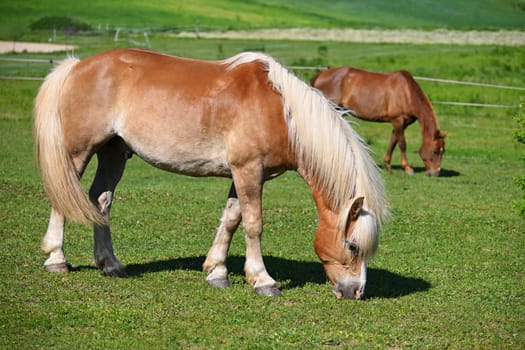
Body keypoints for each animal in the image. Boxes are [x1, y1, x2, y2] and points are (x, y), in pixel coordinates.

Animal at [312, 66, 446, 176]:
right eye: (435, 151)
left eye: (443, 151)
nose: (435, 173)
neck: (407, 92)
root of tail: (321, 74)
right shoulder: (398, 121)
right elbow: (402, 144)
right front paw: (408, 168)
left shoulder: (400, 124)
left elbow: (393, 142)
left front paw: (388, 166)